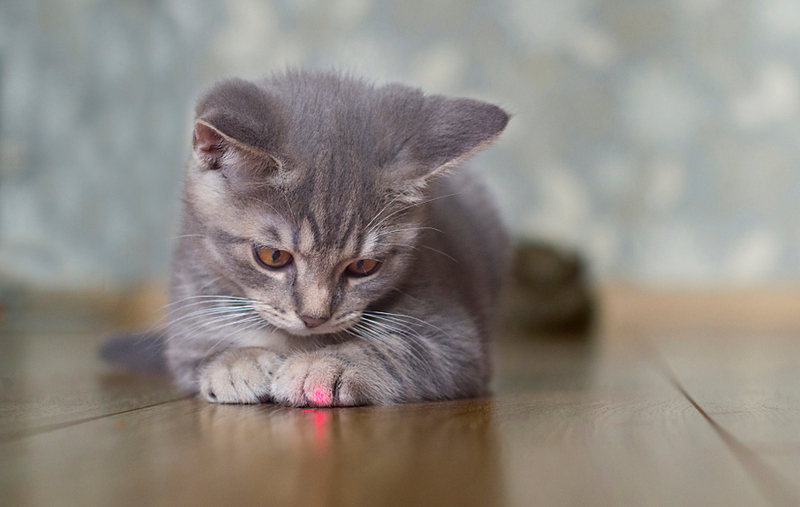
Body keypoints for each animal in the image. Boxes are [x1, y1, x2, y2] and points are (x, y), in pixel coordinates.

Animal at [166, 69, 510, 406]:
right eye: (273, 257)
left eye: (364, 266)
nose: (313, 318)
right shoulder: (187, 322)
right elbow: (203, 351)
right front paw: (236, 363)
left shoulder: (454, 341)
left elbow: (394, 349)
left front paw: (321, 365)